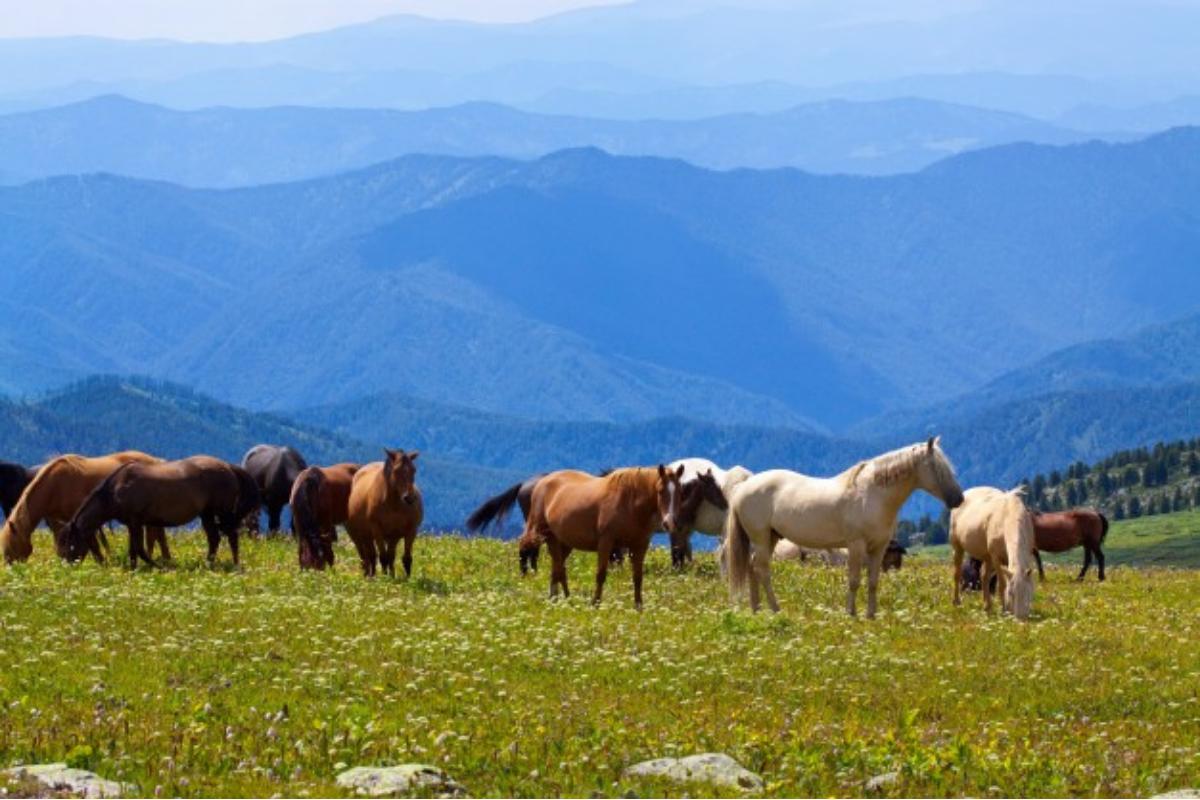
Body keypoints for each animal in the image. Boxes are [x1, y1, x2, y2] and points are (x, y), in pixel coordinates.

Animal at [1, 451, 167, 564]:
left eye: (12, 546)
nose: (12, 567)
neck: (55, 486)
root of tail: (157, 461)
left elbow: (93, 545)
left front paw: (102, 565)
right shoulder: (59, 522)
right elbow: (60, 544)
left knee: (156, 535)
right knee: (156, 535)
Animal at [63, 456, 258, 568]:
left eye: (70, 543)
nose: (69, 565)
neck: (117, 488)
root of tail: (229, 467)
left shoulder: (136, 522)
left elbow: (139, 548)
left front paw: (155, 565)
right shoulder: (132, 524)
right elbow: (133, 549)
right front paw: (133, 568)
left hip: (223, 512)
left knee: (231, 536)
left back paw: (234, 564)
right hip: (207, 514)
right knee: (214, 538)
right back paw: (208, 563)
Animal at [517, 465, 685, 610]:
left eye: (680, 492)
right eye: (660, 491)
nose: (670, 523)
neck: (629, 503)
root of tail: (542, 482)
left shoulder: (640, 545)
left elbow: (638, 577)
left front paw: (639, 607)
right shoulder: (606, 542)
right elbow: (601, 575)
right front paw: (595, 604)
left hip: (560, 541)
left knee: (558, 568)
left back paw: (560, 598)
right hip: (539, 532)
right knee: (527, 549)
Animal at [725, 437, 964, 618]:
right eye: (935, 467)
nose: (958, 499)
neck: (873, 494)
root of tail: (744, 487)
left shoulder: (879, 547)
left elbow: (873, 581)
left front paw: (871, 615)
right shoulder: (856, 545)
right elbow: (854, 580)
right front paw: (851, 613)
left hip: (771, 537)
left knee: (753, 567)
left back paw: (757, 609)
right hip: (760, 537)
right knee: (762, 569)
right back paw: (775, 609)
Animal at [950, 487, 1036, 620]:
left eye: (1028, 592)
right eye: (1011, 593)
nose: (1021, 618)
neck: (1010, 516)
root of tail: (967, 491)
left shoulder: (1027, 554)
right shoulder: (996, 557)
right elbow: (1002, 584)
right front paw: (1004, 610)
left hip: (987, 556)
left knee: (984, 576)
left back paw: (987, 606)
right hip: (958, 546)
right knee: (957, 574)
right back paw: (957, 602)